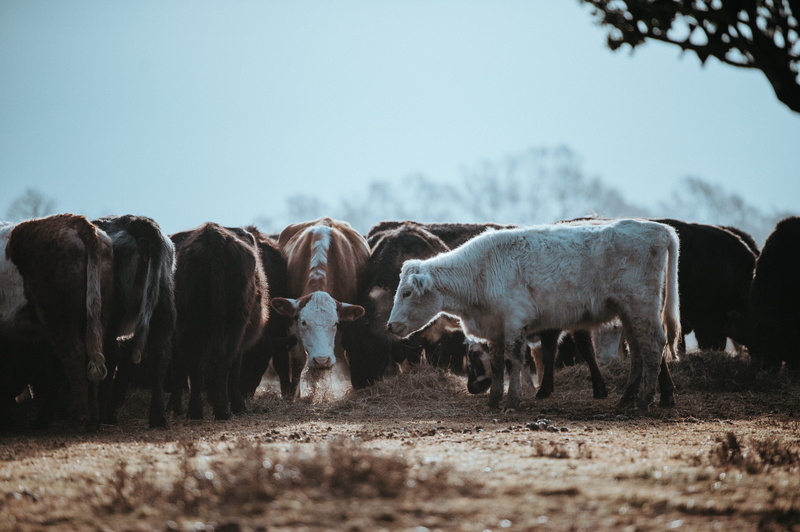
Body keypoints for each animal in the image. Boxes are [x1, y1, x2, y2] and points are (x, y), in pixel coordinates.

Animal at [3, 214, 114, 430]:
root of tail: (77, 222)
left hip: (60, 318)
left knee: (74, 356)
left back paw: (79, 419)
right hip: (97, 316)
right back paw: (93, 420)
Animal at [91, 215, 176, 428]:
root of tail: (134, 221)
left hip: (111, 312)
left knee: (111, 355)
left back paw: (102, 416)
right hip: (163, 302)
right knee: (160, 354)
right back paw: (157, 418)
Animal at [169, 223, 269, 420]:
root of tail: (213, 234)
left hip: (192, 325)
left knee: (197, 362)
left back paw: (198, 411)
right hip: (234, 323)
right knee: (220, 362)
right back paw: (222, 410)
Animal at [269, 218, 368, 397]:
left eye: (335, 323)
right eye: (303, 323)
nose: (321, 360)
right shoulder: (291, 322)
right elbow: (298, 359)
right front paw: (294, 395)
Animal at [387, 219, 681, 411]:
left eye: (407, 293)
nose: (390, 326)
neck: (480, 270)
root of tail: (660, 229)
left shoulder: (515, 321)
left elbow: (514, 361)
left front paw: (512, 402)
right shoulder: (495, 327)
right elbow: (497, 364)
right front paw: (494, 400)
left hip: (642, 305)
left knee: (653, 346)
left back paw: (644, 401)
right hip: (629, 312)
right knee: (638, 350)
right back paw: (626, 399)